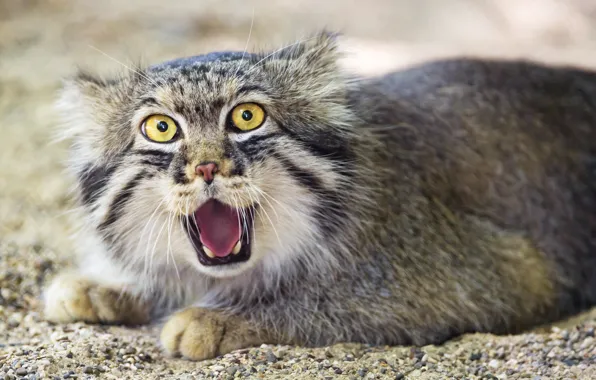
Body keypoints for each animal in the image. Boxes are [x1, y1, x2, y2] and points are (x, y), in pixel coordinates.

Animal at [44, 31, 596, 360]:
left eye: (247, 116)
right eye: (160, 128)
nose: (206, 166)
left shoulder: (500, 271)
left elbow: (332, 298)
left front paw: (215, 317)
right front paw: (105, 285)